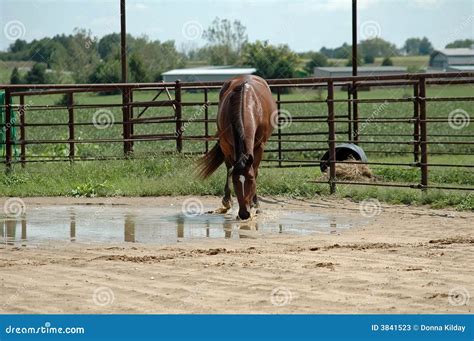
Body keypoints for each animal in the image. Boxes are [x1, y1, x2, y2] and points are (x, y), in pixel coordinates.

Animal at [197, 74, 278, 219]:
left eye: (251, 181)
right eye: (235, 182)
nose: (244, 214)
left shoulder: (260, 147)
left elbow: (255, 170)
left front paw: (255, 203)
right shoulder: (226, 145)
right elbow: (229, 168)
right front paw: (227, 200)